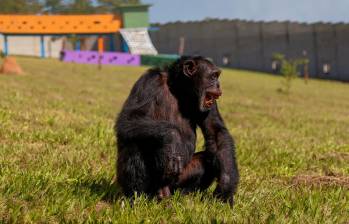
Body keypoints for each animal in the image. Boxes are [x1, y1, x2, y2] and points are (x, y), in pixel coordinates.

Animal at [115, 55, 238, 205]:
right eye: (213, 76)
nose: (218, 84)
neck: (178, 90)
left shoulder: (210, 102)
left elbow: (216, 132)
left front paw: (226, 187)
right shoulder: (148, 81)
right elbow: (129, 118)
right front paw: (172, 138)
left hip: (176, 181)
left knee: (207, 159)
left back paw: (179, 198)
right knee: (135, 143)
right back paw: (136, 199)